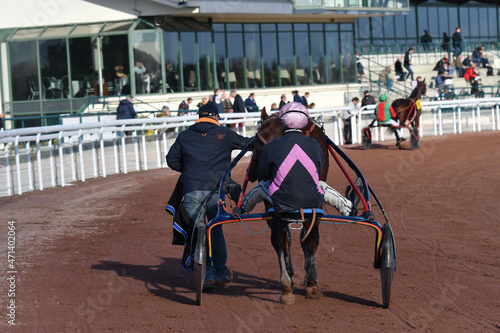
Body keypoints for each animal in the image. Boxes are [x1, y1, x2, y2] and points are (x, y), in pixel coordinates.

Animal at [249, 107, 332, 304]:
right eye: (256, 143)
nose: (256, 171)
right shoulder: (272, 208)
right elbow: (281, 240)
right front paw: (287, 285)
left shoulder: (314, 205)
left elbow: (310, 239)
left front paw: (311, 282)